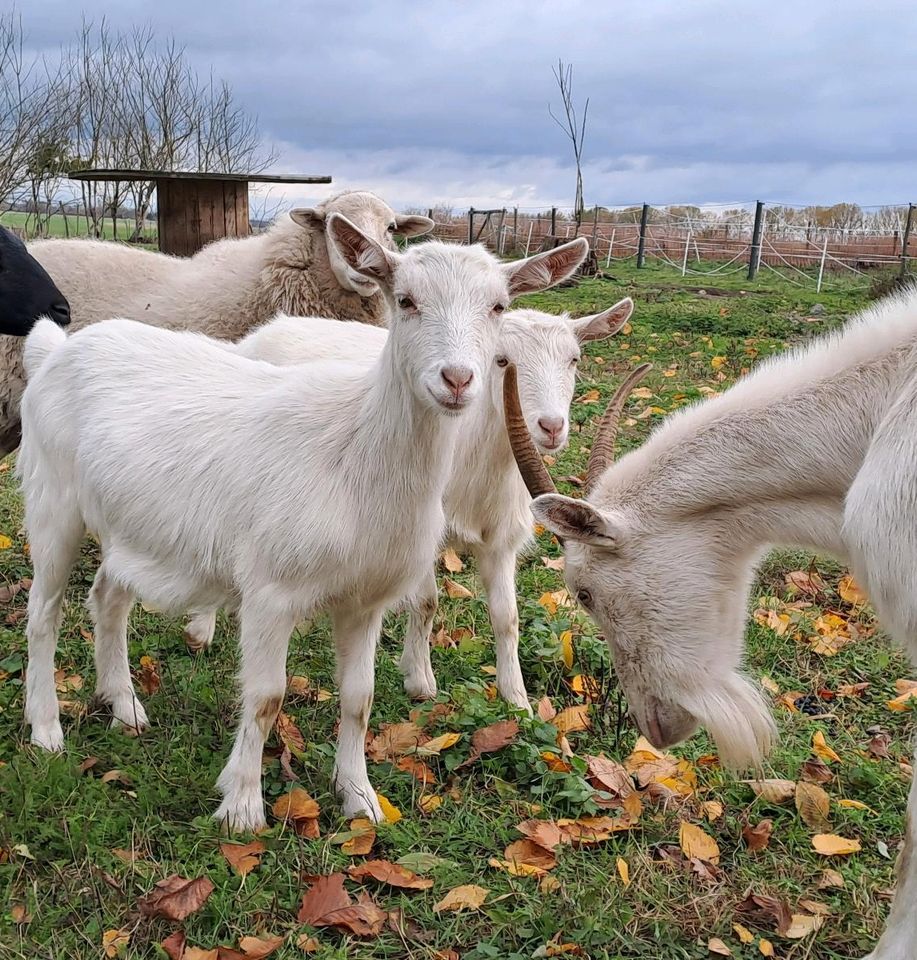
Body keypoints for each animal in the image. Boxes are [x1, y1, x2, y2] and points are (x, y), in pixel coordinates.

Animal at [182, 300, 632, 712]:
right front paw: (420, 679)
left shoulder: (500, 538)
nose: (551, 427)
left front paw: (517, 698)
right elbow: (426, 602)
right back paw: (201, 629)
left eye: (573, 359)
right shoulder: (417, 530)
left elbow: (507, 617)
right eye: (502, 360)